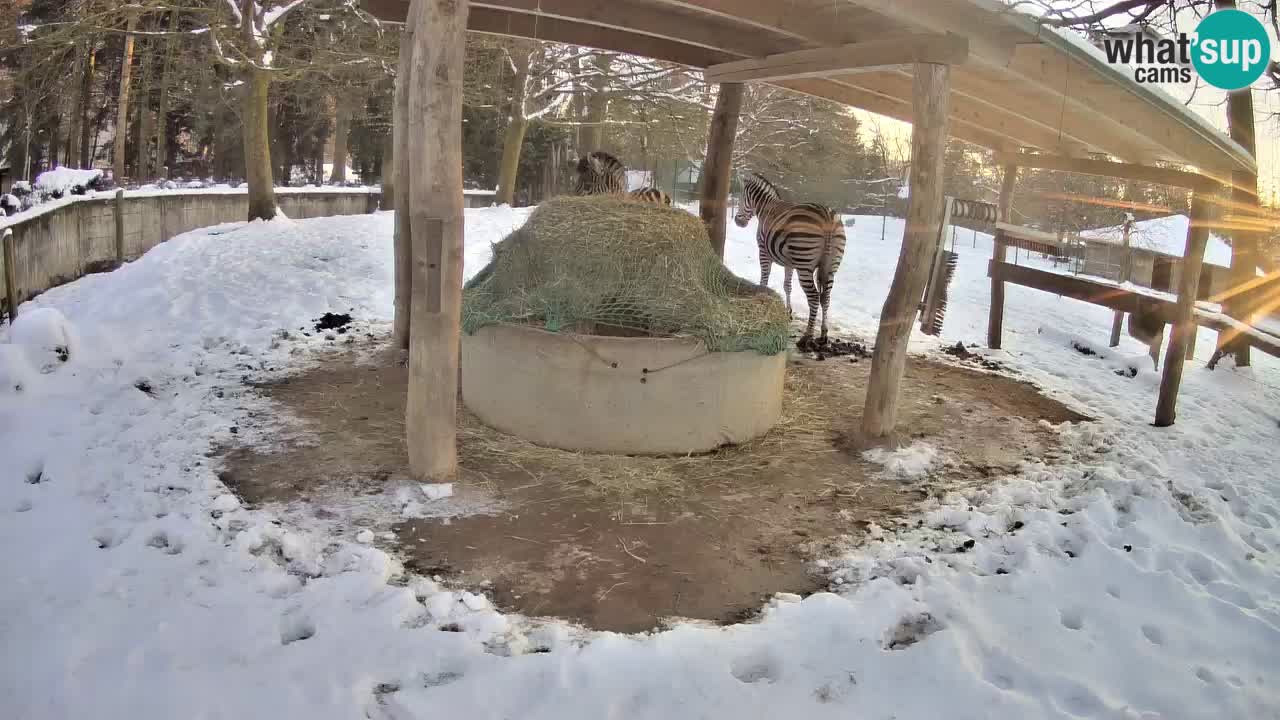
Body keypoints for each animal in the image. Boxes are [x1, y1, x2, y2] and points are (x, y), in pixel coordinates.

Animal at [734, 172, 846, 347]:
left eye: (740, 198)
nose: (737, 221)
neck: (766, 207)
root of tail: (827, 215)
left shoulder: (763, 252)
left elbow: (764, 279)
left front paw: (762, 299)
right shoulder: (790, 263)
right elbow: (787, 286)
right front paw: (788, 312)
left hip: (805, 265)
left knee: (814, 298)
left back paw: (807, 337)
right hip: (830, 266)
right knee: (826, 297)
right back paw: (823, 334)